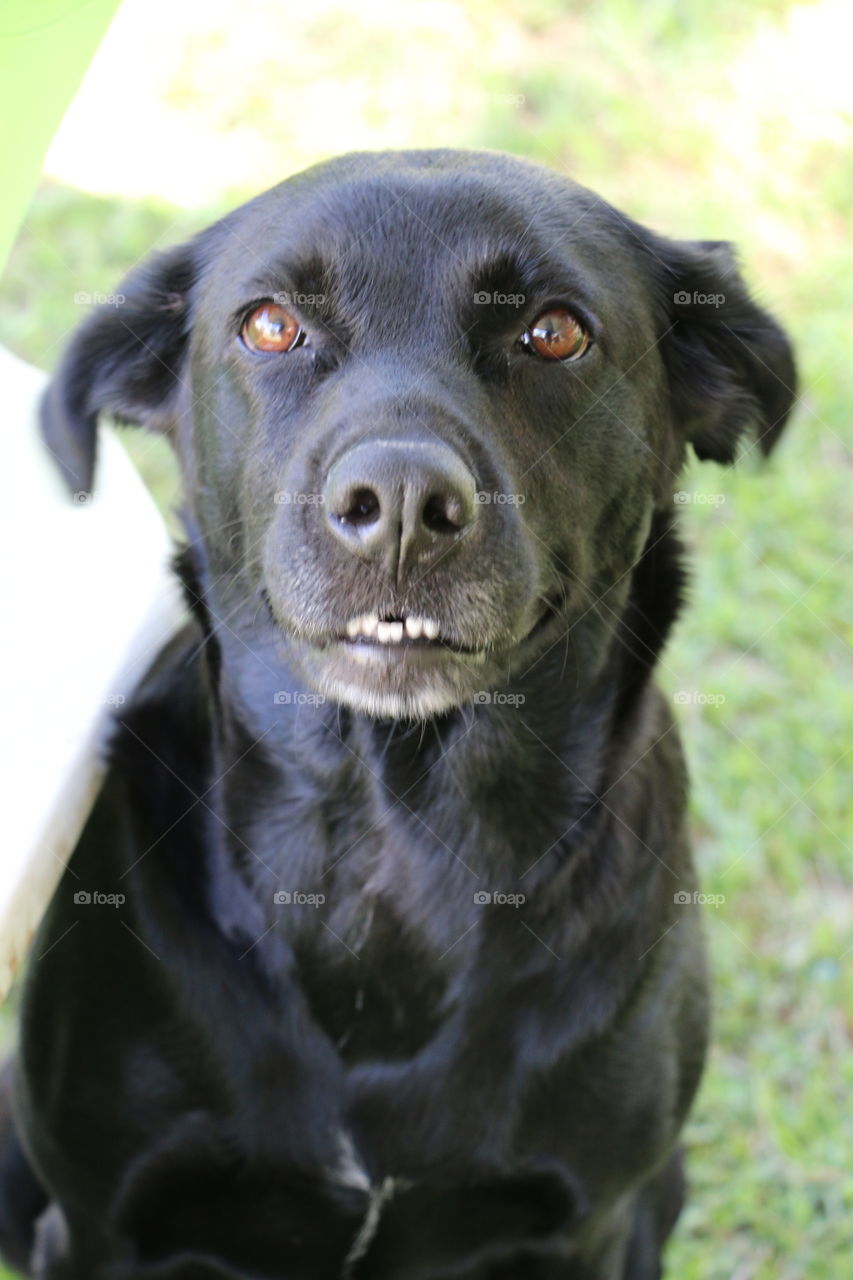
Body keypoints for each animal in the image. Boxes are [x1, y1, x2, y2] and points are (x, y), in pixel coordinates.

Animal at [3, 152, 794, 1280]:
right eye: (271, 326)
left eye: (554, 332)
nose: (401, 507)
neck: (387, 848)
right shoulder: (98, 1220)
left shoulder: (587, 1225)